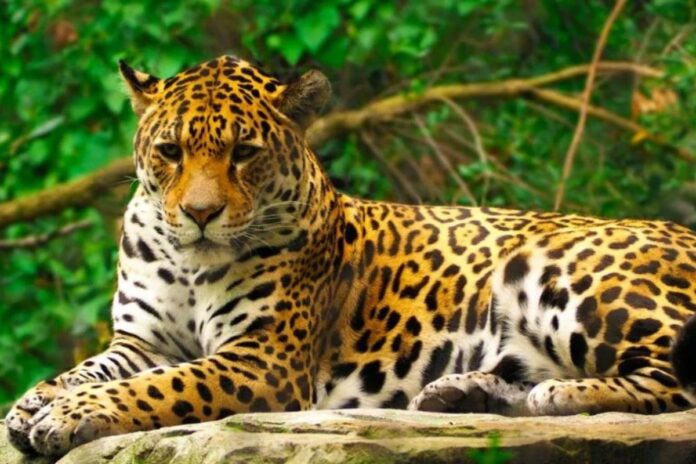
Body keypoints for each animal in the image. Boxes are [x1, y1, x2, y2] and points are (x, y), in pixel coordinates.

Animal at [6, 55, 696, 456]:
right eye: (171, 151)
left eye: (244, 154)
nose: (200, 214)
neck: (189, 262)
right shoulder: (142, 341)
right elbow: (91, 369)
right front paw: (32, 402)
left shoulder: (263, 359)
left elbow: (162, 386)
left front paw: (73, 414)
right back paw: (463, 394)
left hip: (562, 272)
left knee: (673, 381)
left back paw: (555, 396)